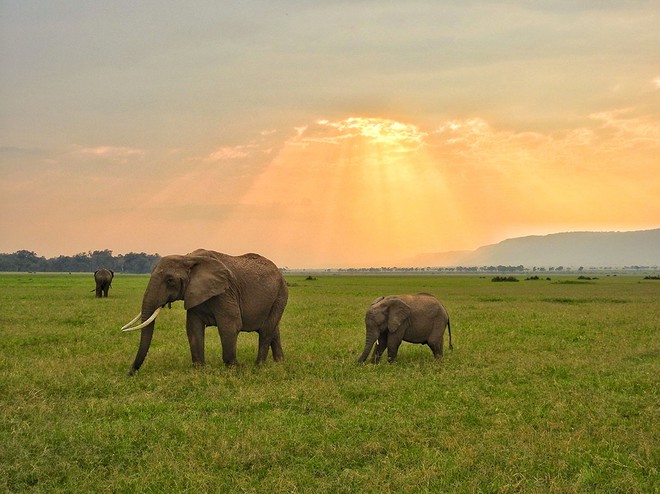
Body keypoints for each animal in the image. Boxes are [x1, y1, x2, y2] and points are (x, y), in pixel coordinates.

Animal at [121, 249, 288, 376]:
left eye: (170, 280)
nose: (130, 373)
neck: (187, 258)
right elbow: (193, 328)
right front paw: (200, 369)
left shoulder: (225, 291)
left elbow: (230, 325)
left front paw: (235, 368)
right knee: (273, 330)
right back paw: (279, 363)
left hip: (280, 295)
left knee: (266, 330)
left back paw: (258, 366)